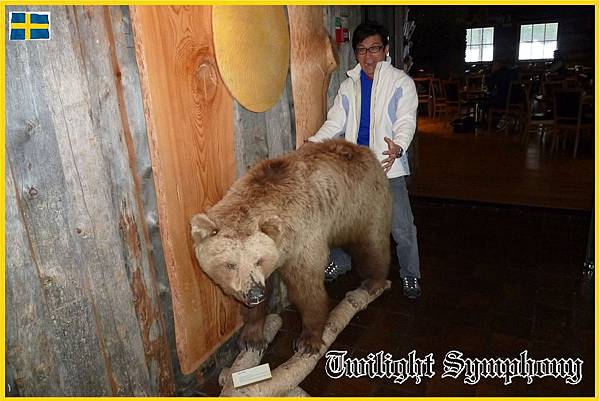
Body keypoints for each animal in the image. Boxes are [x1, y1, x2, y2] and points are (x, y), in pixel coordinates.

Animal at [190, 139, 392, 354]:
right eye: (230, 264)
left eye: (258, 260)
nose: (254, 293)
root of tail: (359, 148)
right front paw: (252, 338)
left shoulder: (303, 240)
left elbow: (307, 290)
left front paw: (308, 340)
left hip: (363, 204)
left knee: (372, 244)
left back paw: (374, 281)